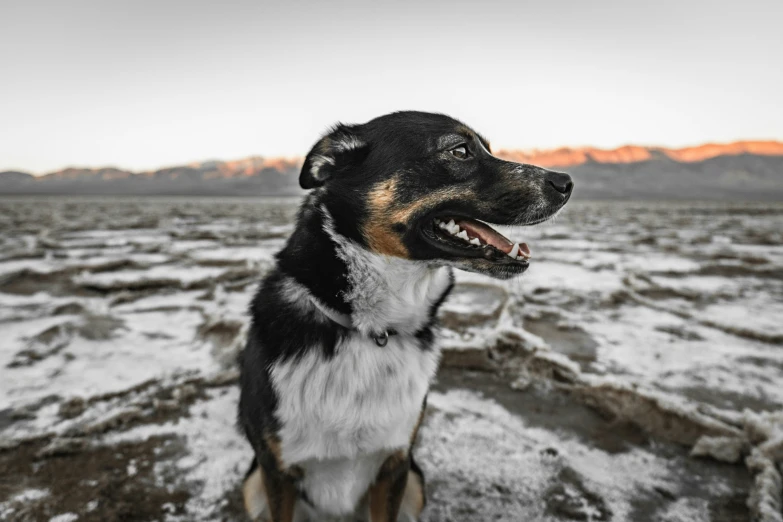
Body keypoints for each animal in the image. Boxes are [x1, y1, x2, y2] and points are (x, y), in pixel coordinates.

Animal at [236, 110, 572, 520]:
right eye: (460, 150)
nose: (566, 181)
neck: (371, 329)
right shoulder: (276, 472)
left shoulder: (394, 465)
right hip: (253, 486)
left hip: (416, 484)